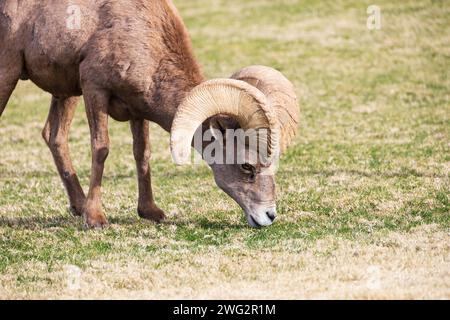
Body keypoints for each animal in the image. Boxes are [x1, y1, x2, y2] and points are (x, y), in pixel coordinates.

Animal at [0, 0, 298, 230]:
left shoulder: (136, 110)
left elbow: (142, 153)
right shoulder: (94, 90)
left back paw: (77, 206)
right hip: (10, 71)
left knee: (54, 135)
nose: (269, 216)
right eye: (247, 166)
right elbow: (101, 149)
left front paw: (150, 212)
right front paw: (95, 219)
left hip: (65, 92)